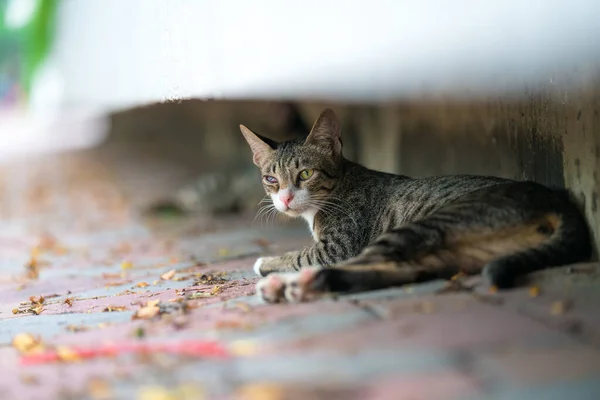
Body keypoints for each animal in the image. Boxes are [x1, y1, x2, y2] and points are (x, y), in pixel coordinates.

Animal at [241, 108, 592, 302]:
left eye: (306, 174)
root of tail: (555, 199)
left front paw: (267, 262)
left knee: (361, 263)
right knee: (396, 269)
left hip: (429, 223)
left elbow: (304, 255)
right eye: (271, 179)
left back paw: (290, 284)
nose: (285, 199)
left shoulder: (339, 246)